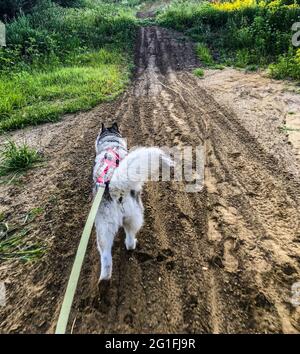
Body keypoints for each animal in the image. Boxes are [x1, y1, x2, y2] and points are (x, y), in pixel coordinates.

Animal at [94, 123, 173, 284]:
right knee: (129, 240)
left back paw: (104, 281)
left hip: (103, 229)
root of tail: (115, 188)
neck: (111, 145)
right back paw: (133, 244)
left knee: (106, 257)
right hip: (135, 215)